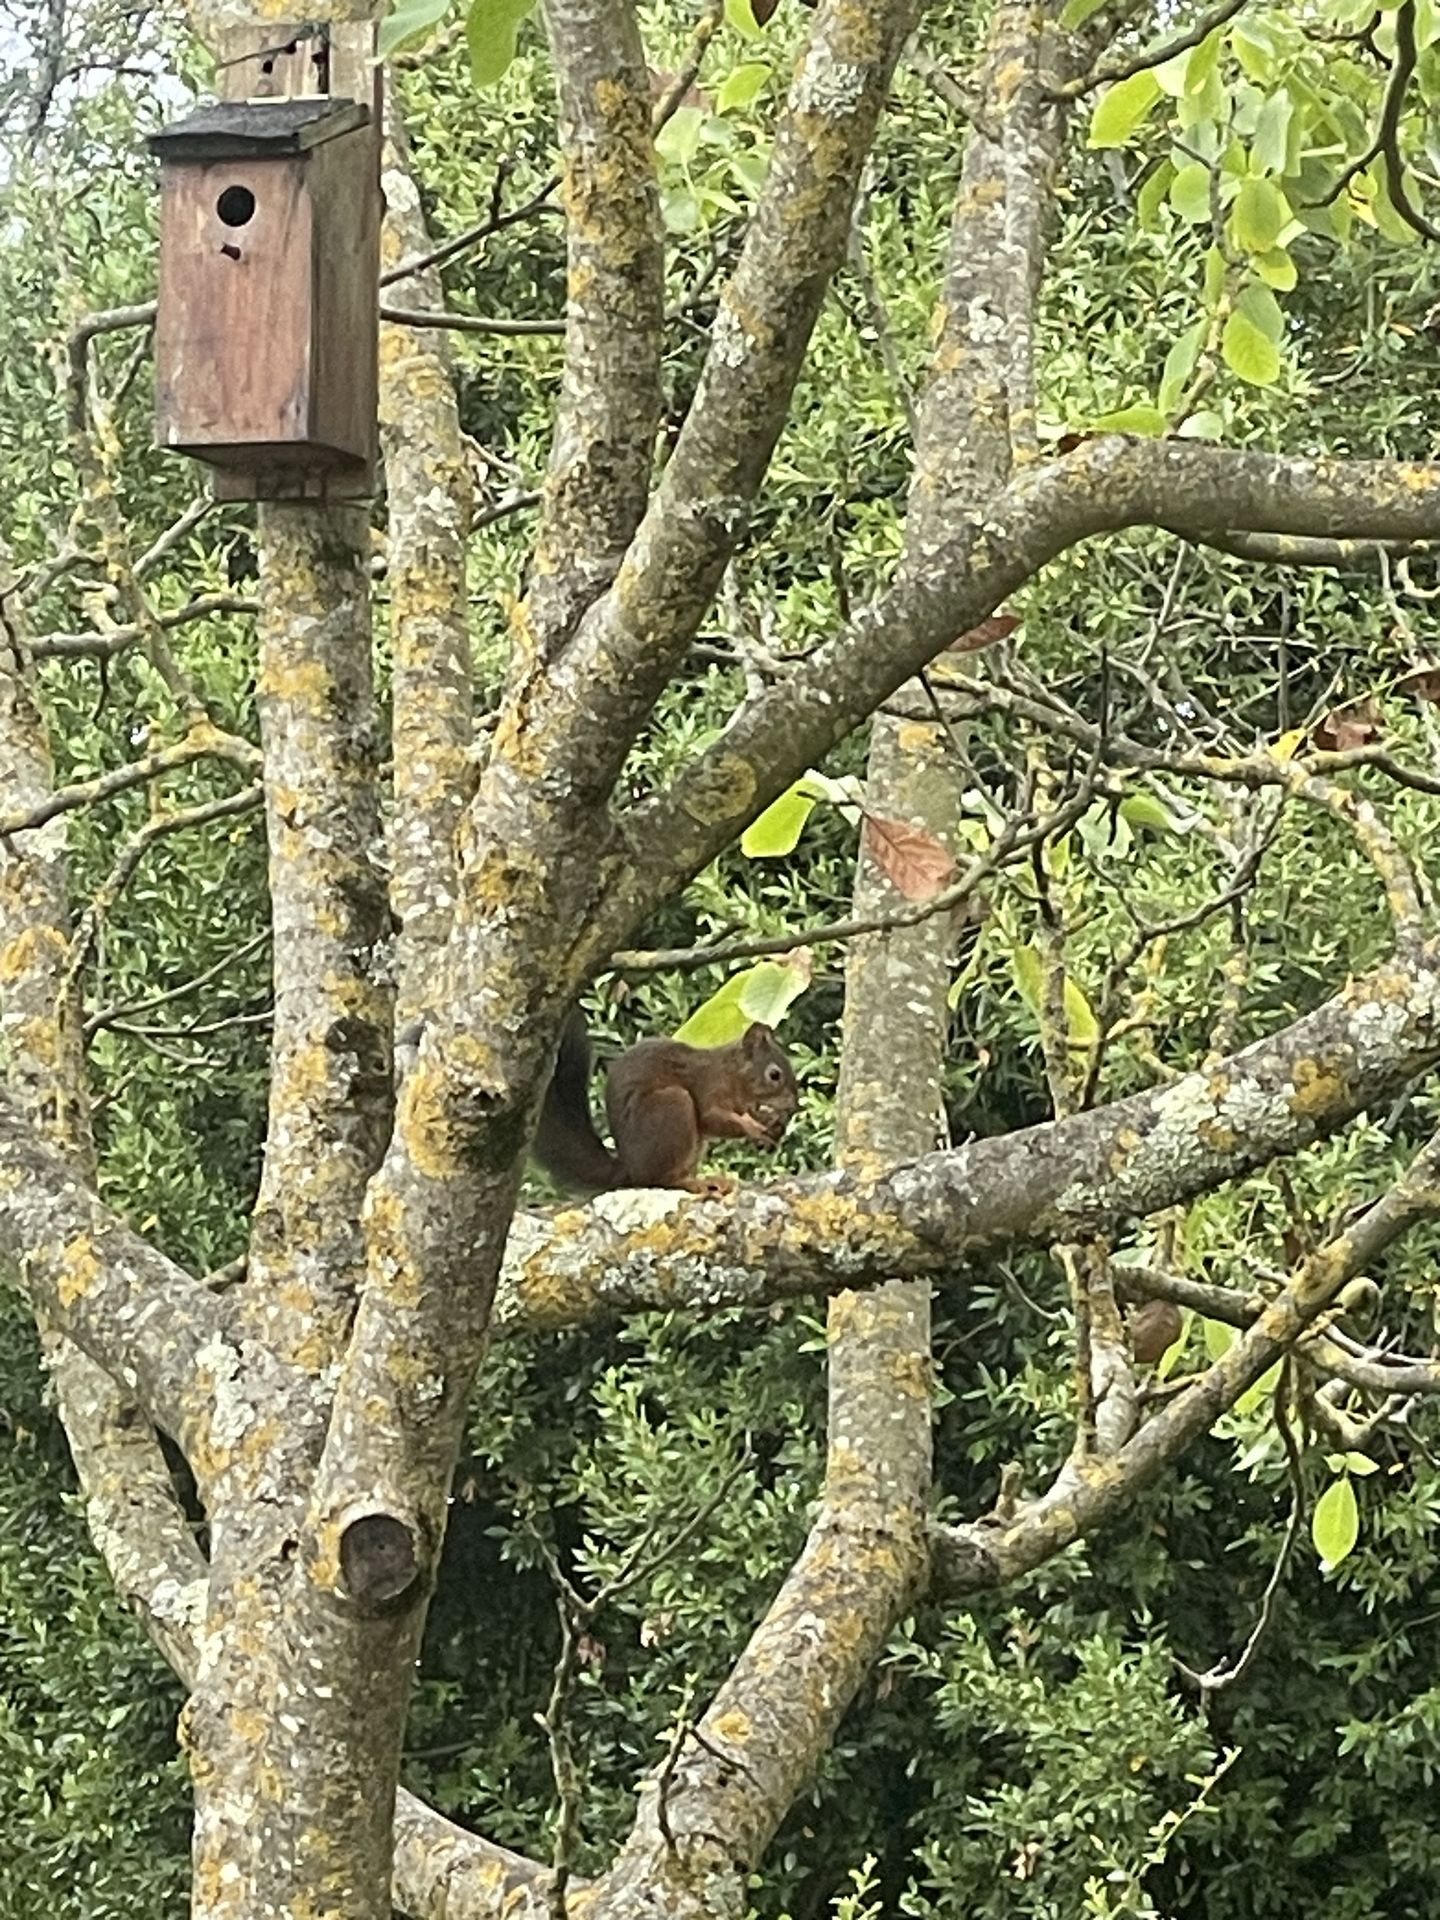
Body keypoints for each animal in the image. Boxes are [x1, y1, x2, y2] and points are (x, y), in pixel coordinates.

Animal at [534, 1011, 799, 1194]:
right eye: (775, 1075)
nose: (793, 1105)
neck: (731, 1073)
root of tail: (631, 1169)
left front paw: (766, 1121)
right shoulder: (708, 1088)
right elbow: (712, 1119)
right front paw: (754, 1128)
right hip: (673, 1105)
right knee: (661, 1180)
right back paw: (695, 1184)